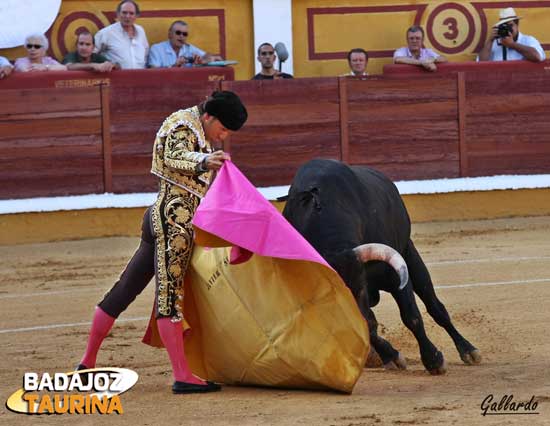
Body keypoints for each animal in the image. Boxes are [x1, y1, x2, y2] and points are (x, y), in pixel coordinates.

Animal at [284, 159, 484, 372]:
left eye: (360, 289)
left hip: (409, 253)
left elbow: (411, 317)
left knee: (435, 307)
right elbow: (370, 325)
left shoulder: (394, 274)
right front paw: (392, 356)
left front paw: (434, 360)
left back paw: (468, 350)